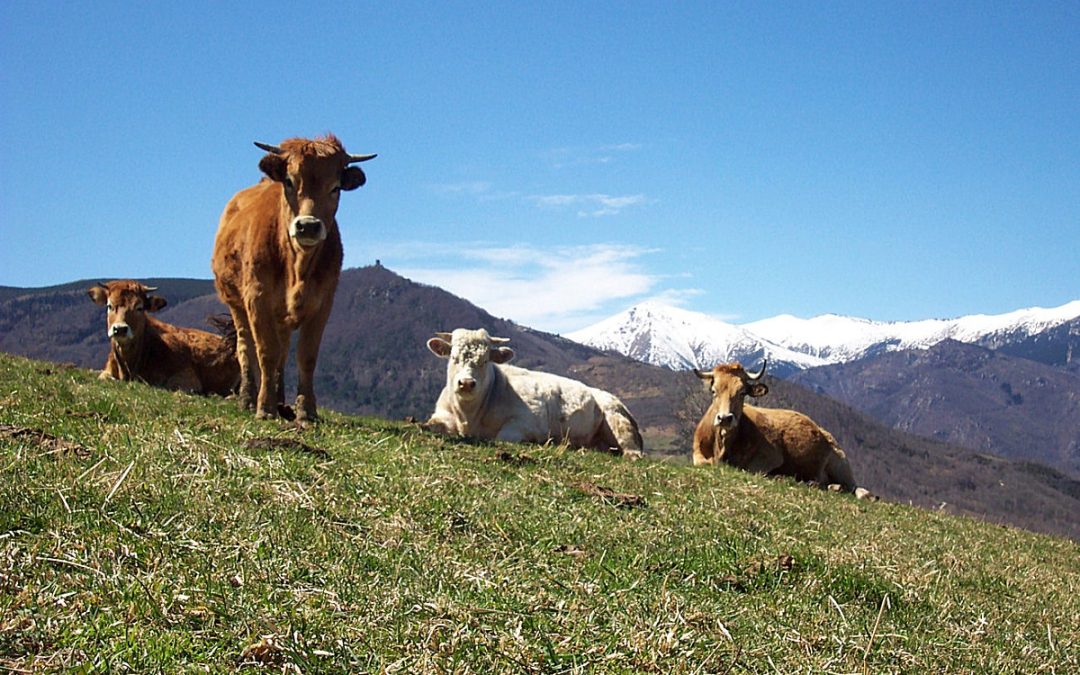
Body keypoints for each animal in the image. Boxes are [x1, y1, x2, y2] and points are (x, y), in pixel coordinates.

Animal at [87, 280, 239, 396]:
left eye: (139, 307)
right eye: (109, 306)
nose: (120, 329)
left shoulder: (188, 378)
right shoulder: (106, 371)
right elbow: (105, 378)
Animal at [211, 134, 375, 421]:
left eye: (335, 187)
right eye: (289, 181)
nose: (308, 226)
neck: (296, 267)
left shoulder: (323, 303)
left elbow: (306, 356)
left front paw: (305, 411)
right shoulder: (257, 298)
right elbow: (265, 352)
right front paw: (264, 408)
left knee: (282, 351)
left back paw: (280, 401)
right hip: (236, 304)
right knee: (245, 347)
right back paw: (248, 398)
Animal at [425, 328, 644, 458]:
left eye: (485, 360)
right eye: (453, 357)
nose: (467, 383)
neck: (468, 416)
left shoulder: (528, 421)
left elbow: (502, 437)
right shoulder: (442, 414)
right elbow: (432, 425)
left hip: (618, 422)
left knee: (633, 453)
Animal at [692, 360, 872, 499]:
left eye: (742, 392)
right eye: (714, 391)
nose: (725, 418)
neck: (722, 445)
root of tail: (822, 430)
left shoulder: (771, 456)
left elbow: (750, 469)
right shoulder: (698, 453)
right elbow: (704, 463)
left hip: (840, 463)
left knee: (855, 488)